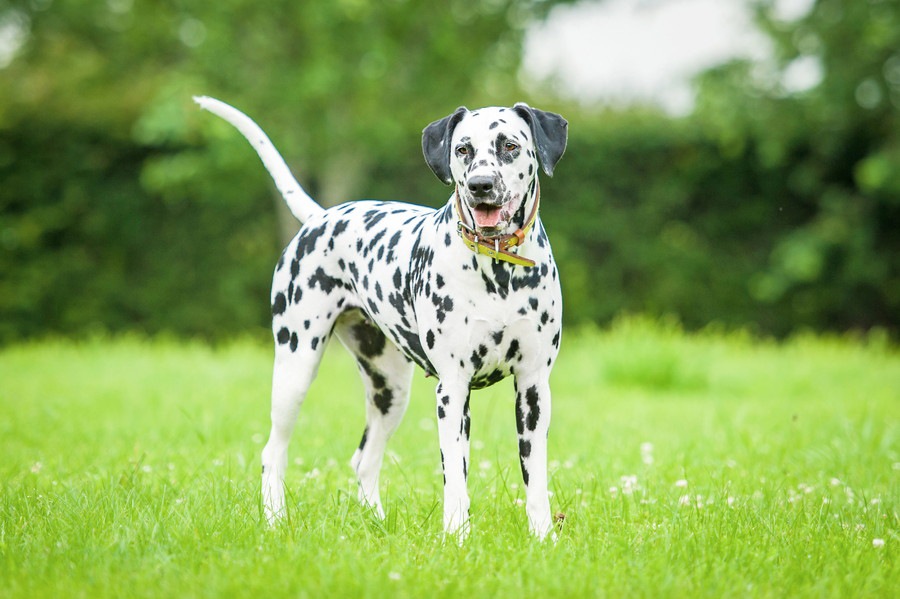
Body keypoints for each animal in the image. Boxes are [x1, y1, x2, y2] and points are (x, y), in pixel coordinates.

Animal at [194, 97, 568, 540]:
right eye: (463, 149)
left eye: (509, 145)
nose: (479, 185)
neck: (498, 272)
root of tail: (320, 217)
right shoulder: (452, 391)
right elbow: (456, 481)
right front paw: (457, 537)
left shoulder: (533, 389)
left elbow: (536, 479)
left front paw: (543, 536)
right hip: (294, 369)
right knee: (274, 452)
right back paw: (274, 520)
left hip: (389, 390)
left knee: (364, 460)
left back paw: (376, 520)